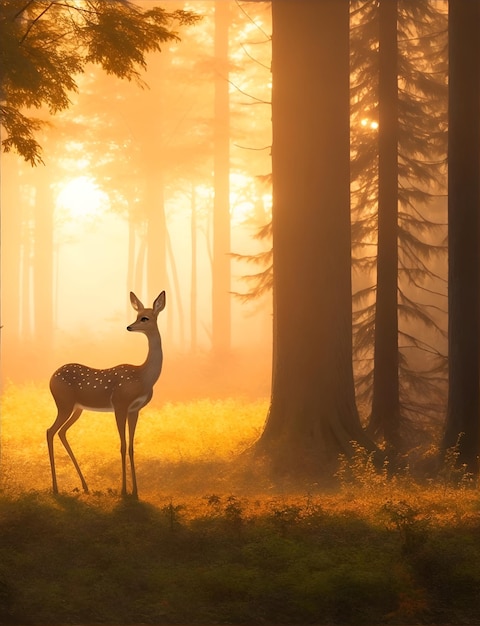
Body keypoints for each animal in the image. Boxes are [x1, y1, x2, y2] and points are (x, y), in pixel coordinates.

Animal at [46, 290, 166, 500]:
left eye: (145, 318)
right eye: (137, 315)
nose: (129, 326)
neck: (143, 377)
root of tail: (51, 377)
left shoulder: (135, 410)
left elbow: (131, 447)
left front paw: (135, 492)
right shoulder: (120, 404)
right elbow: (122, 445)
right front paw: (124, 491)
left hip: (77, 408)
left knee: (61, 432)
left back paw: (85, 486)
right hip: (64, 403)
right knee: (50, 431)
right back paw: (56, 488)